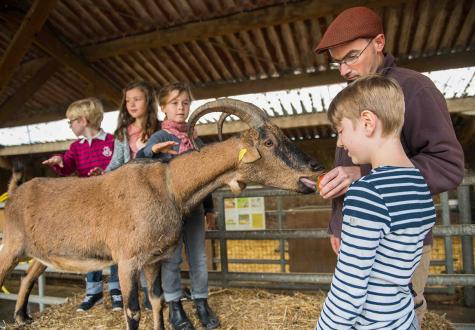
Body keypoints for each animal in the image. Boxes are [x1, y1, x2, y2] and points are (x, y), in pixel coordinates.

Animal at [0, 98, 324, 330]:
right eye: (269, 142)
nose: (316, 167)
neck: (170, 186)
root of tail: (13, 196)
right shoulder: (127, 260)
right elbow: (132, 311)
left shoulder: (153, 259)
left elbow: (158, 301)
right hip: (11, 245)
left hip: (40, 252)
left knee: (28, 276)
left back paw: (23, 317)